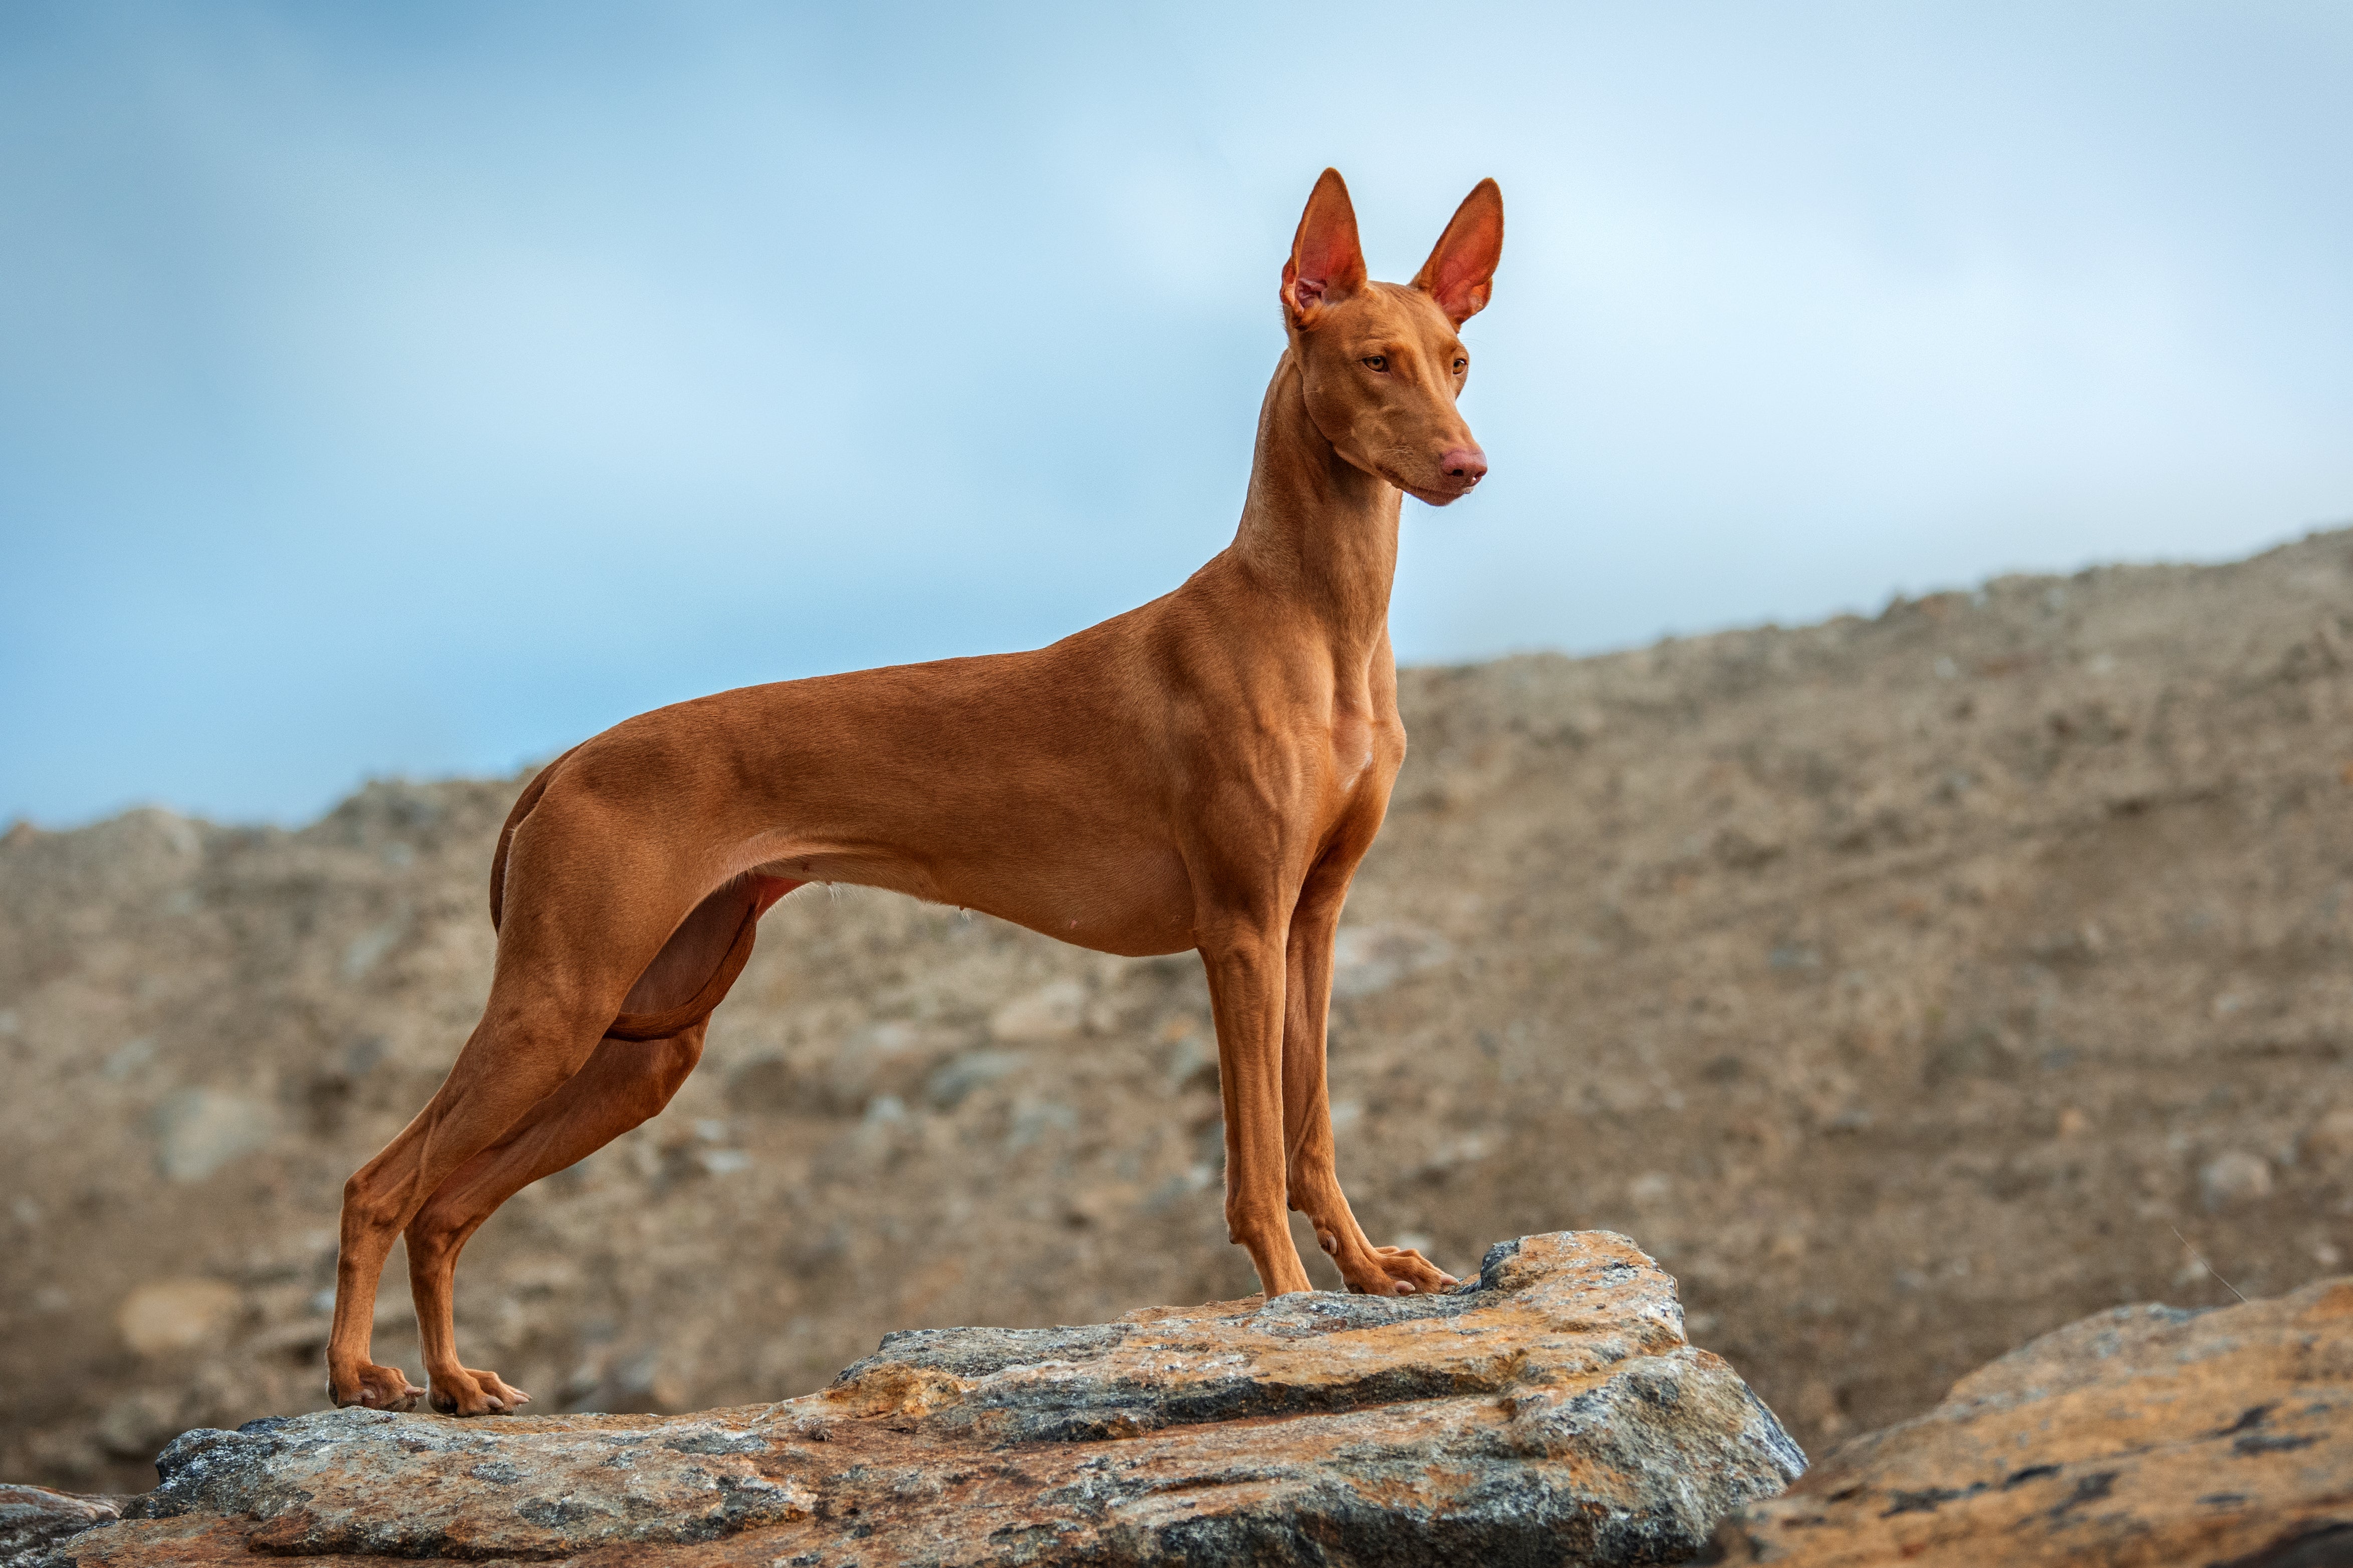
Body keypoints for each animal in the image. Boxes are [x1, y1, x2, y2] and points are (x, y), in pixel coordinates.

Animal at [327, 165, 1506, 1420]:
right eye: (1374, 360)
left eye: (1455, 360)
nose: (1466, 465)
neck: (1314, 620)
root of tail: (561, 761)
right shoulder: (1238, 928)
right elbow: (1251, 1155)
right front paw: (1286, 1300)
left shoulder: (1311, 918)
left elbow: (1312, 1128)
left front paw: (1368, 1270)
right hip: (557, 1004)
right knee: (380, 1181)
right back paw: (359, 1371)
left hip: (641, 1045)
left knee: (446, 1205)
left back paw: (454, 1379)